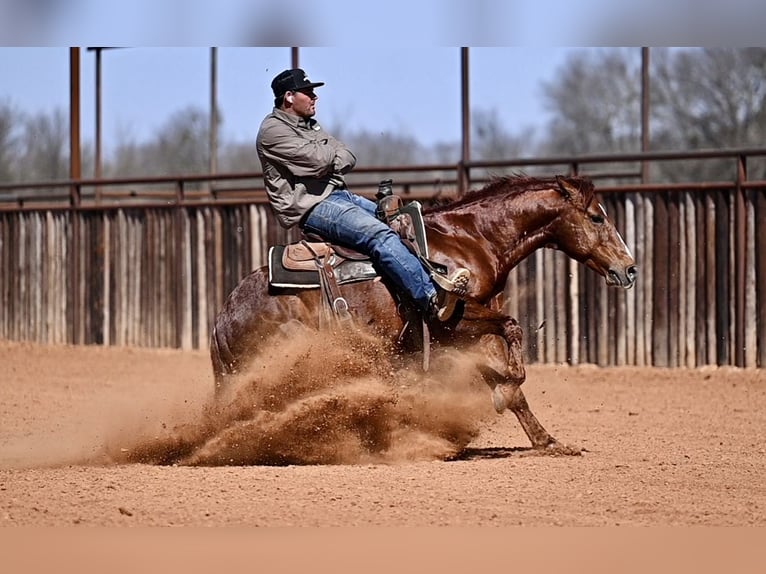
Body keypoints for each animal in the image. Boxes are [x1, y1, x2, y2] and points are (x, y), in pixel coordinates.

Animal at [209, 174, 637, 453]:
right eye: (597, 217)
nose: (629, 268)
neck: (471, 240)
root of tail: (222, 320)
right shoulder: (450, 322)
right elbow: (513, 333)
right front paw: (508, 383)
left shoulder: (466, 329)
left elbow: (509, 379)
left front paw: (547, 439)